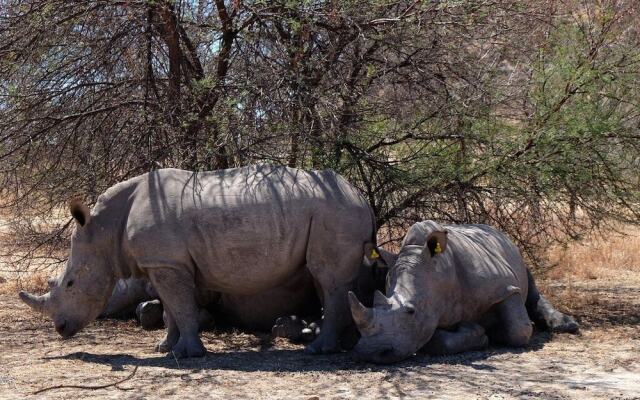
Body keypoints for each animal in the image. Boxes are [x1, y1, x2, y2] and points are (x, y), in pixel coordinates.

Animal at [20, 164, 378, 358]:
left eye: (70, 283)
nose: (60, 329)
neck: (105, 229)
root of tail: (362, 197)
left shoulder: (166, 262)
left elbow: (180, 307)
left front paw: (188, 353)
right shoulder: (164, 262)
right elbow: (170, 309)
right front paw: (164, 348)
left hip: (336, 211)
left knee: (330, 281)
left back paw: (318, 350)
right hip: (331, 213)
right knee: (325, 279)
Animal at [350, 220, 580, 364]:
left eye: (411, 311)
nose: (371, 352)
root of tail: (494, 229)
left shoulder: (505, 288)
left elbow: (518, 329)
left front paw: (492, 331)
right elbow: (439, 340)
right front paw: (478, 333)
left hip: (513, 253)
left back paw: (567, 325)